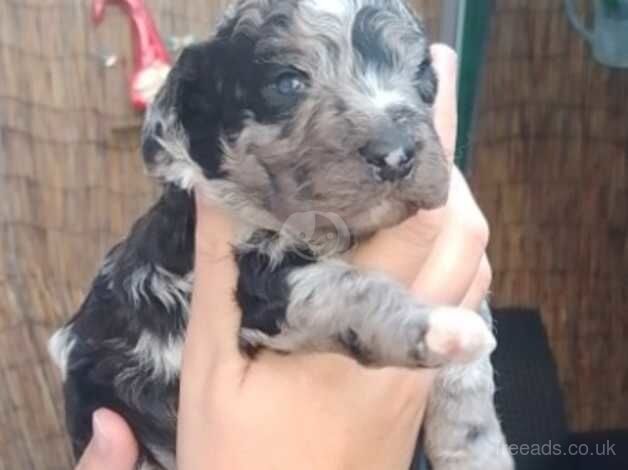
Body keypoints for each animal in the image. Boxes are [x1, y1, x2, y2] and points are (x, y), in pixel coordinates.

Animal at [49, 0, 512, 470]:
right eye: (287, 83)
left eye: (421, 76)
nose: (395, 154)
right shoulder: (261, 281)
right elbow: (346, 290)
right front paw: (437, 327)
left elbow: (471, 379)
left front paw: (479, 450)